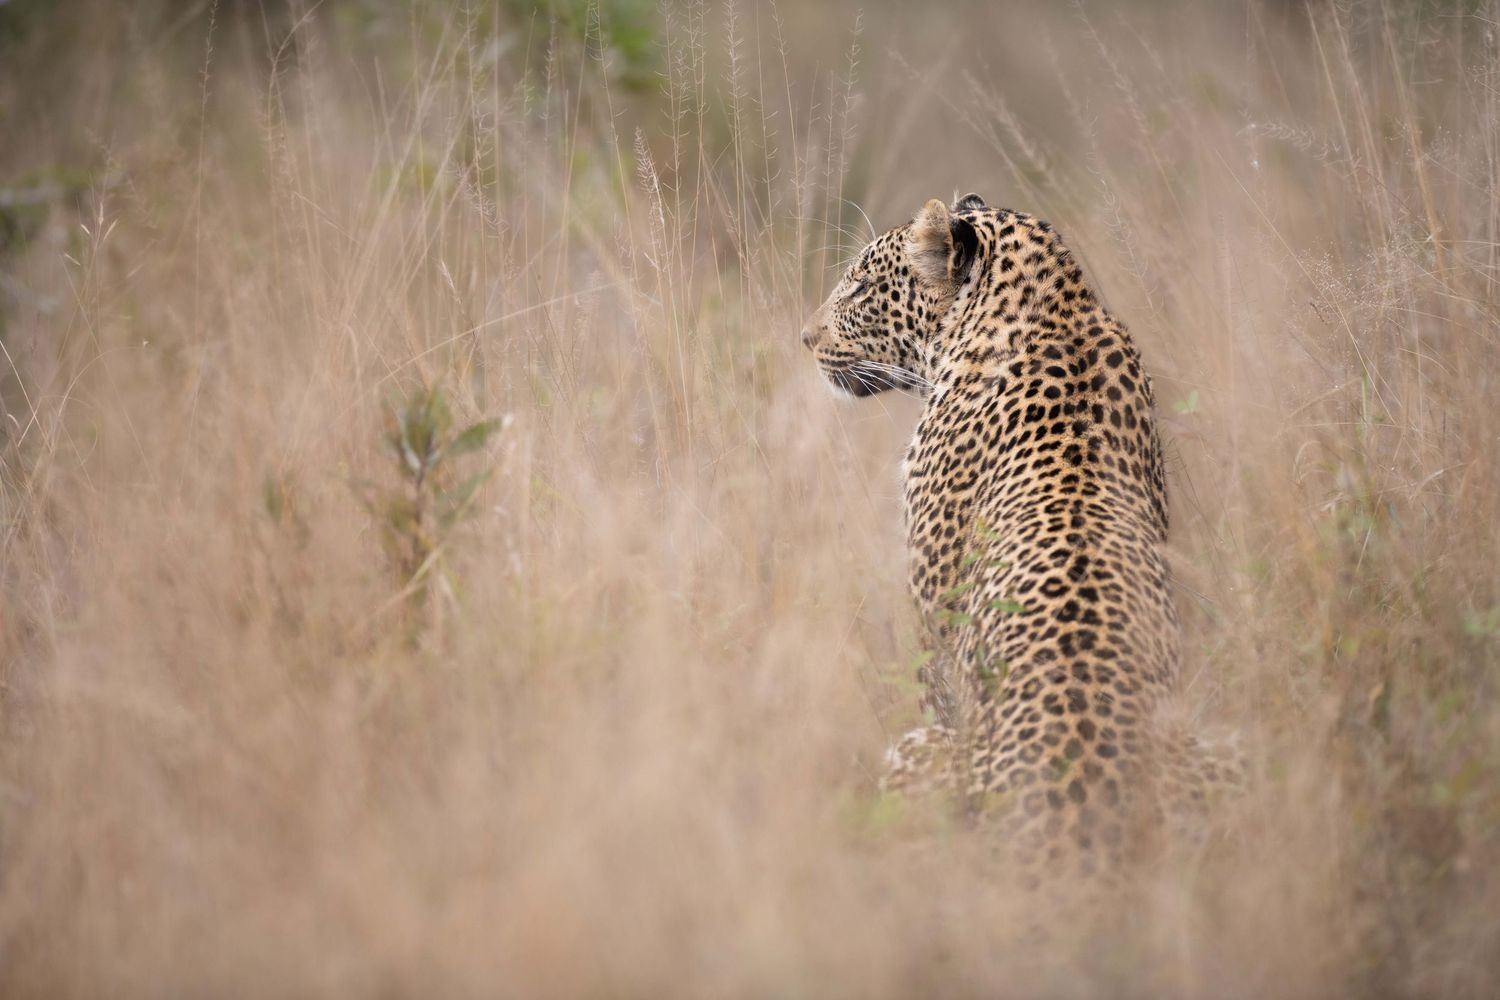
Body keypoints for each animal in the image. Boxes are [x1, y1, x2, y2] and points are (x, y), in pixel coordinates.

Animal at [802, 193, 1241, 883]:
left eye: (862, 287)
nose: (804, 337)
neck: (1056, 315)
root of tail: (1075, 829)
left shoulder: (936, 611)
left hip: (920, 760)